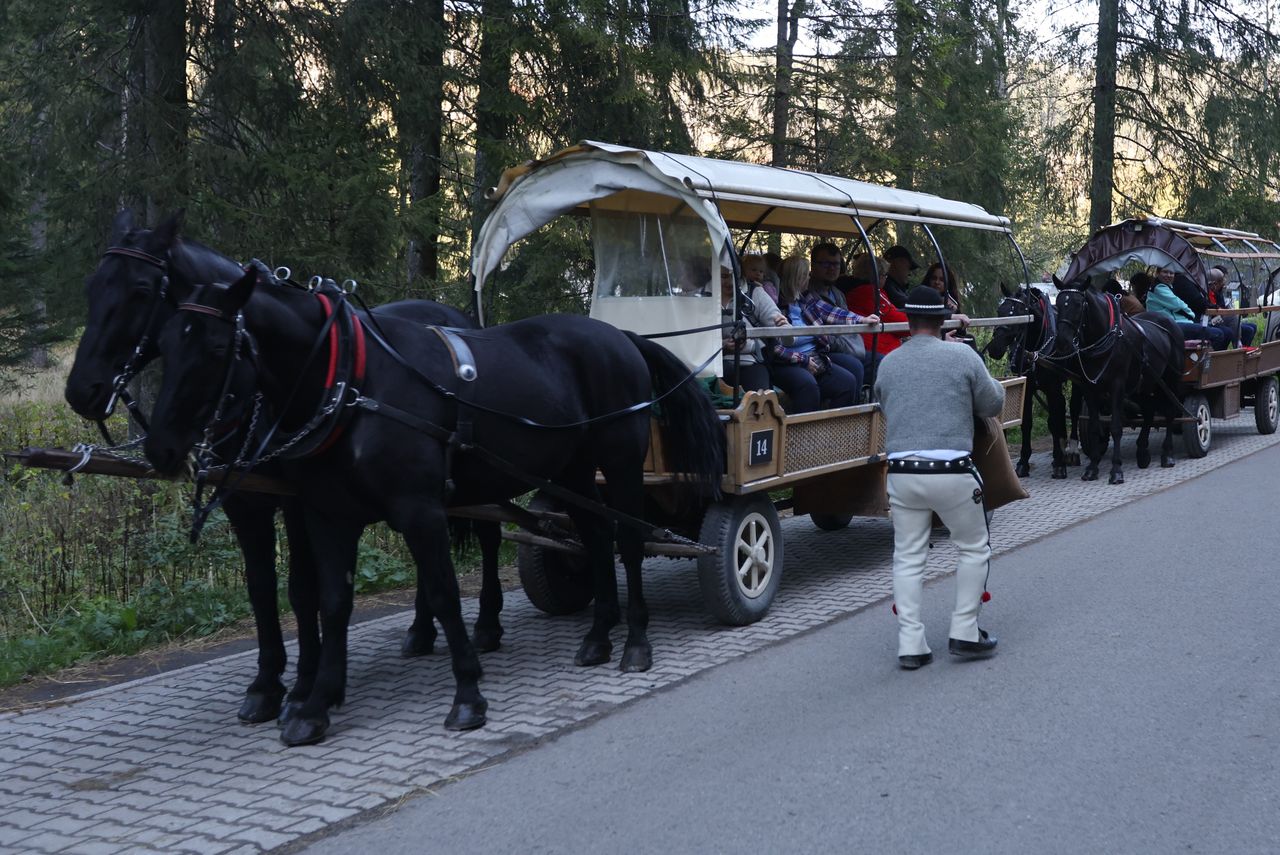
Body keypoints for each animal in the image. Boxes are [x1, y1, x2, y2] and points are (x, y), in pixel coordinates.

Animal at [64, 209, 504, 727]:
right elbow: (261, 589)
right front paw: (268, 684)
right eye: (92, 286)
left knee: (490, 536)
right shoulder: (246, 505)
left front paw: (304, 686)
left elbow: (301, 590)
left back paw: (487, 624)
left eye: (139, 290)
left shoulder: (298, 504)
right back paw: (420, 630)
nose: (82, 390)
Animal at [145, 270, 727, 742]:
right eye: (165, 344)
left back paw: (635, 643)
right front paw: (313, 705)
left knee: (628, 539)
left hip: (621, 461)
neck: (352, 381)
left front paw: (468, 694)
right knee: (596, 535)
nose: (161, 450)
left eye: (217, 348)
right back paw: (599, 637)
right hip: (573, 471)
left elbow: (445, 595)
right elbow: (332, 603)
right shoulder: (327, 515)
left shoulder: (419, 510)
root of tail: (620, 336)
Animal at [1044, 280, 1182, 481]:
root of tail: (1169, 322)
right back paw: (1142, 452)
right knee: (1149, 411)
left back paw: (1168, 454)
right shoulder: (1090, 388)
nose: (1062, 342)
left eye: (1078, 304)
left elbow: (1116, 427)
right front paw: (1092, 467)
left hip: (1170, 380)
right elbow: (1094, 427)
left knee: (1170, 413)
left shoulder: (1117, 386)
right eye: (1059, 304)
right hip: (1143, 384)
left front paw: (1116, 470)